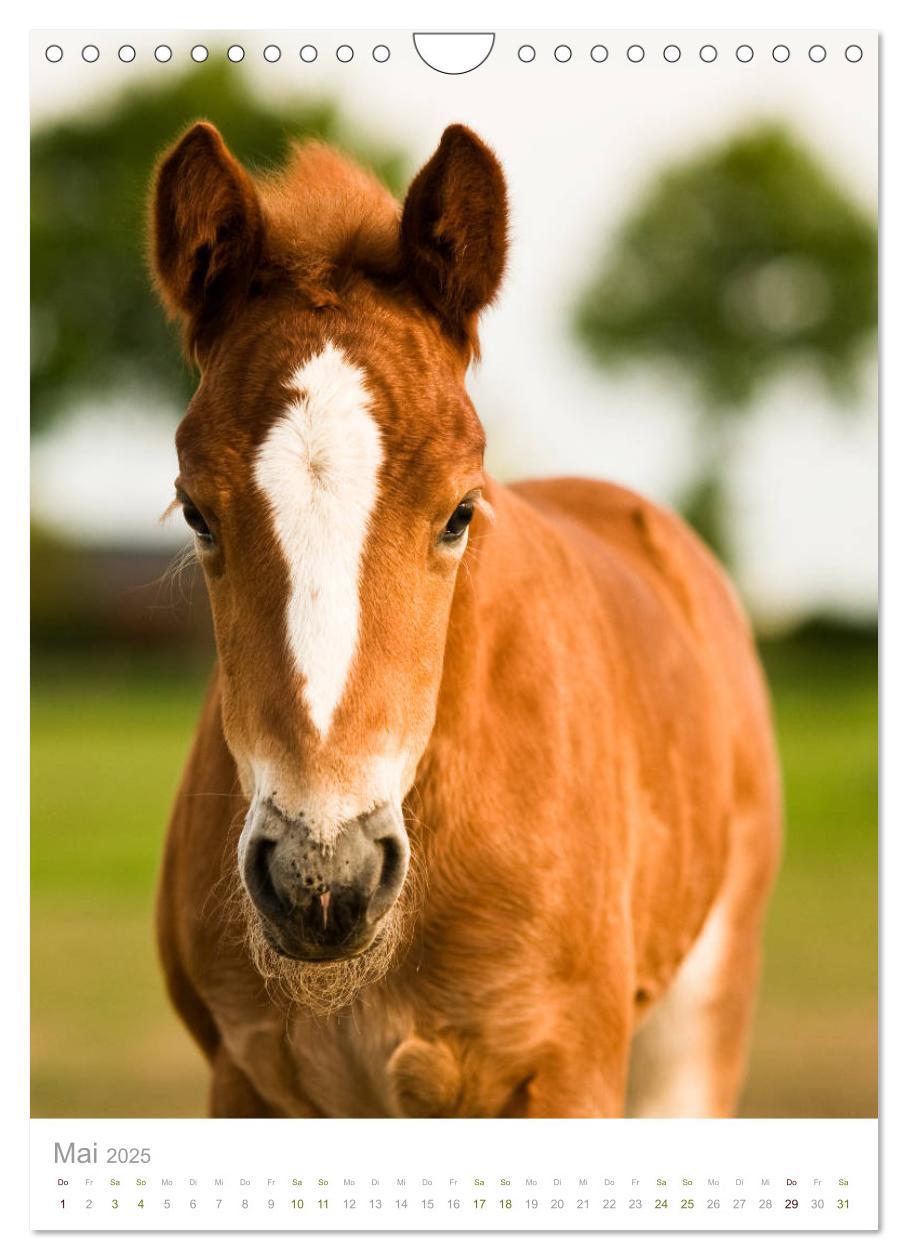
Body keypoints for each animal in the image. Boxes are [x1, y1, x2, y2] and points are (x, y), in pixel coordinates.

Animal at [150, 122, 780, 1118]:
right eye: (196, 513)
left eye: (459, 511)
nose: (322, 877)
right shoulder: (241, 1080)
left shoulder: (565, 1073)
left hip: (697, 1028)